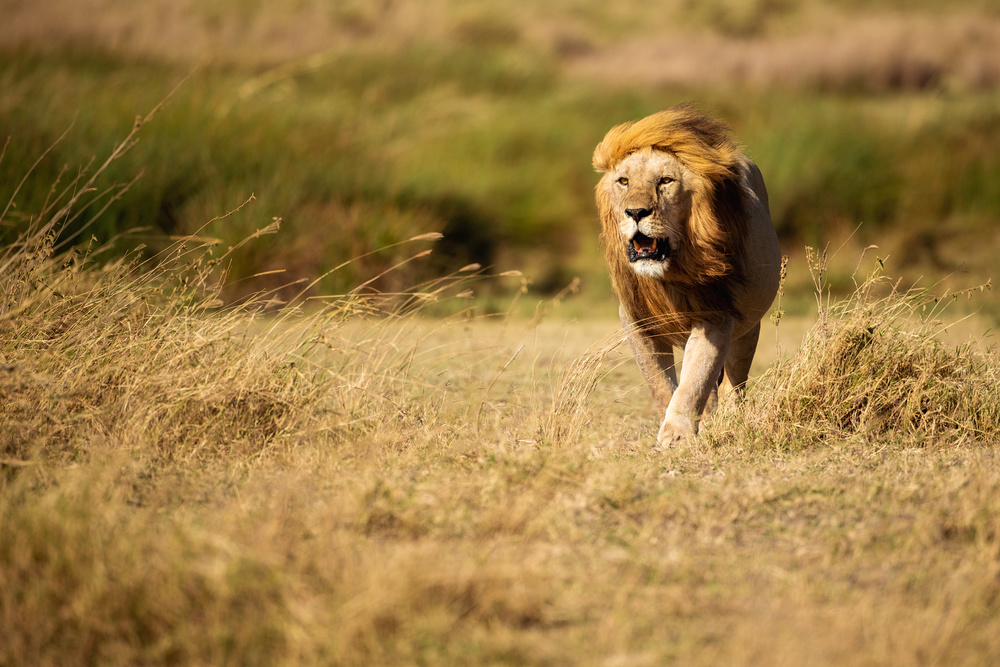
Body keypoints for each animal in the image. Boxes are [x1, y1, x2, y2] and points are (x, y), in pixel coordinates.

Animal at [592, 105, 780, 448]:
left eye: (665, 181)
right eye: (623, 181)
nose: (635, 212)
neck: (668, 275)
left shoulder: (716, 314)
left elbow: (695, 378)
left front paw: (677, 435)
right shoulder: (637, 322)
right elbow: (661, 383)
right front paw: (673, 428)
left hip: (749, 327)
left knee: (735, 383)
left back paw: (732, 421)